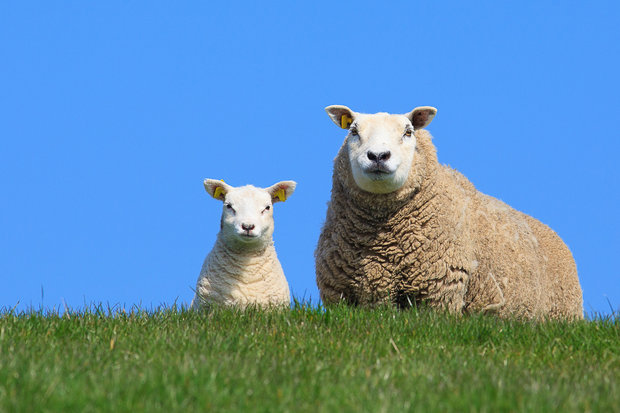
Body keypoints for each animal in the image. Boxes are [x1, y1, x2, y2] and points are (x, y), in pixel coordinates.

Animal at [318, 105, 584, 318]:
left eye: (408, 132)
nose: (378, 156)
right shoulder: (343, 297)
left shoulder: (440, 291)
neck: (384, 246)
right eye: (353, 131)